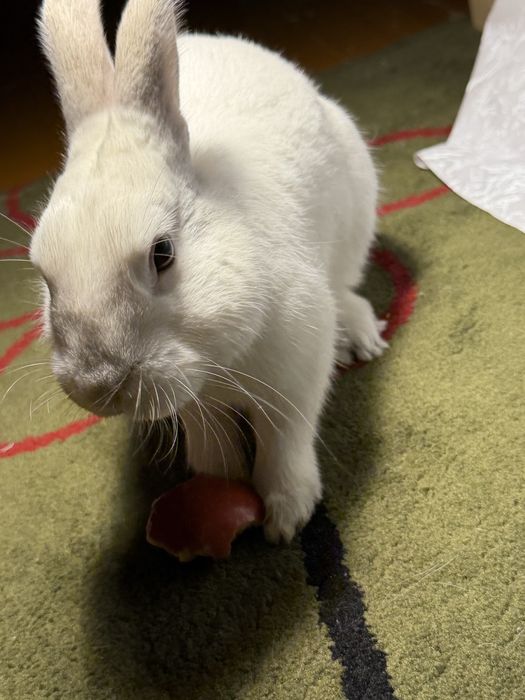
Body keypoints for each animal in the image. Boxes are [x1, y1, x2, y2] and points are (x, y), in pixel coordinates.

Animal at [30, 0, 387, 543]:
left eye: (162, 254)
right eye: (46, 278)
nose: (97, 384)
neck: (217, 362)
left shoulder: (296, 373)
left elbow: (285, 442)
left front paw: (287, 518)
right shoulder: (197, 403)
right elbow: (211, 437)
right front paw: (220, 479)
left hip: (356, 208)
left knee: (349, 287)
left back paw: (362, 337)